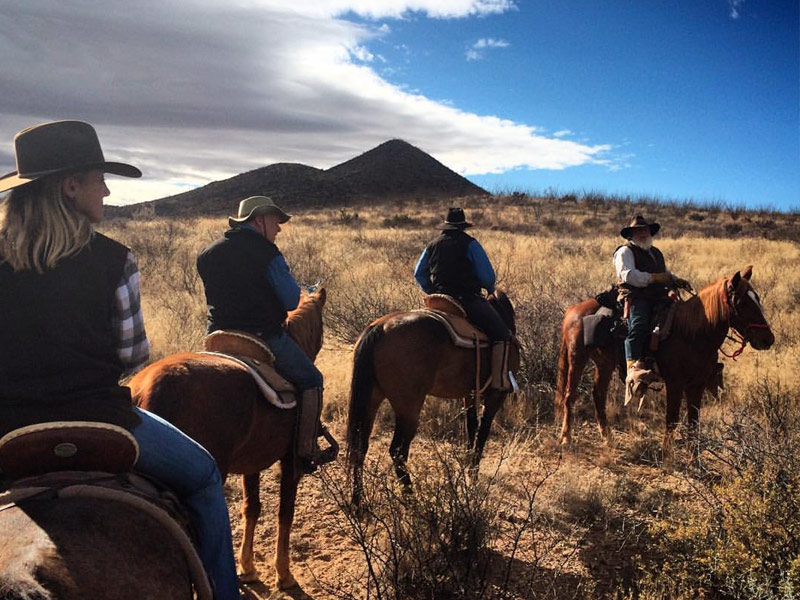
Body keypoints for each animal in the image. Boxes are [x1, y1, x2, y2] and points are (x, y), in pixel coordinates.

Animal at [128, 290, 324, 592]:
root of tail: (148, 389)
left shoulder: (252, 462)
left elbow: (251, 508)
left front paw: (248, 568)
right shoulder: (291, 461)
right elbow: (285, 512)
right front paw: (284, 574)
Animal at [346, 290, 520, 506]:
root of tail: (380, 328)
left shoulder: (470, 394)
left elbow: (471, 428)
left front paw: (468, 472)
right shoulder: (496, 396)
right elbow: (482, 434)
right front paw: (474, 477)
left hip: (372, 399)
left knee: (360, 447)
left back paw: (357, 501)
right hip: (408, 408)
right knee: (397, 451)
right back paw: (411, 498)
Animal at [556, 268, 776, 454]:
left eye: (756, 298)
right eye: (742, 302)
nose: (768, 339)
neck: (691, 332)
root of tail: (574, 310)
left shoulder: (697, 384)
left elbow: (693, 421)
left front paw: (694, 460)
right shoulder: (675, 383)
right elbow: (672, 419)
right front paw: (667, 455)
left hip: (604, 363)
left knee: (598, 394)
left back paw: (607, 437)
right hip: (577, 358)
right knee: (569, 395)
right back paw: (566, 438)